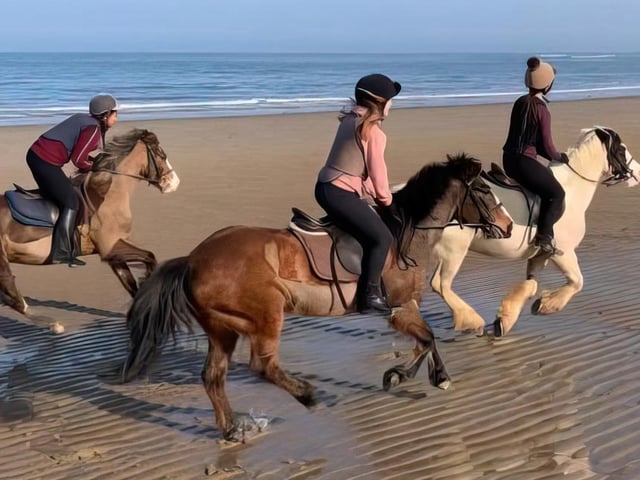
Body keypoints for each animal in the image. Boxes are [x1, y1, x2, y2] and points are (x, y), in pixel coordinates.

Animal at [0, 128, 180, 315]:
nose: (174, 183)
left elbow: (130, 283)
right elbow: (150, 256)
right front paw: (148, 281)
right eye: (161, 155)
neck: (107, 196)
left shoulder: (114, 253)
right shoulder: (110, 248)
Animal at [119, 153, 512, 441]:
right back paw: (308, 395)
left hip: (222, 328)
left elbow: (425, 340)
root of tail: (193, 260)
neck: (406, 233)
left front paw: (409, 375)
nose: (508, 226)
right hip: (266, 315)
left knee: (213, 377)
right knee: (262, 366)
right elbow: (427, 338)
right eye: (484, 192)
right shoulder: (399, 306)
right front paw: (424, 377)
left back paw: (231, 429)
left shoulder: (405, 306)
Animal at [429, 127, 640, 337]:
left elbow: (531, 283)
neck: (572, 189)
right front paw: (548, 306)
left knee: (436, 284)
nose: (637, 171)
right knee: (442, 284)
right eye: (622, 149)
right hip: (455, 250)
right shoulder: (564, 253)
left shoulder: (540, 255)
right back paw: (472, 321)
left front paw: (506, 319)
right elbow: (577, 282)